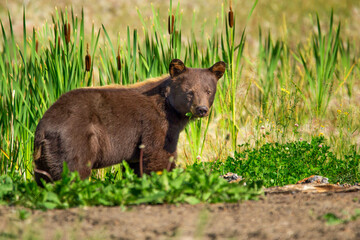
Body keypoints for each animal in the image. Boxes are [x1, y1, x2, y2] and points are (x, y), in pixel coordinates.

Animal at [33, 58, 225, 186]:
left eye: (208, 91)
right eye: (189, 91)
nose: (201, 109)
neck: (170, 108)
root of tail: (43, 126)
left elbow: (136, 164)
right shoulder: (154, 124)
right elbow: (159, 155)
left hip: (45, 156)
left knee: (45, 177)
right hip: (74, 139)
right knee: (75, 169)